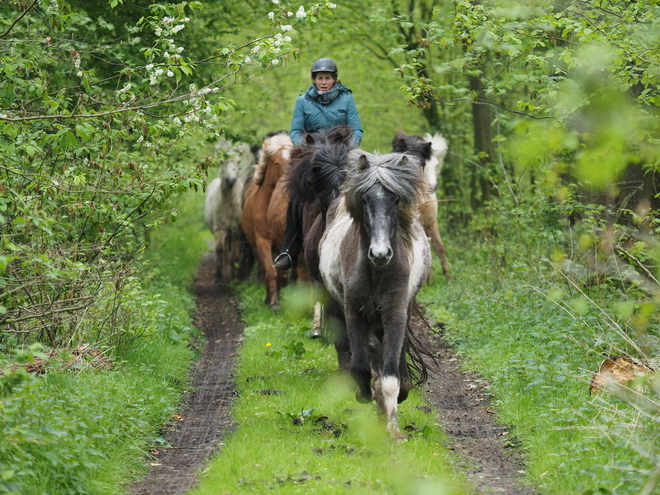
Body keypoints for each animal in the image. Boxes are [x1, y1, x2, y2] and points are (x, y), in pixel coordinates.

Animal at [241, 132, 292, 310]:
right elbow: (270, 271)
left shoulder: (282, 244)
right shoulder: (263, 240)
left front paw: (277, 301)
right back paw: (268, 299)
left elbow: (280, 273)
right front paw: (273, 303)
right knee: (265, 269)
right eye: (276, 162)